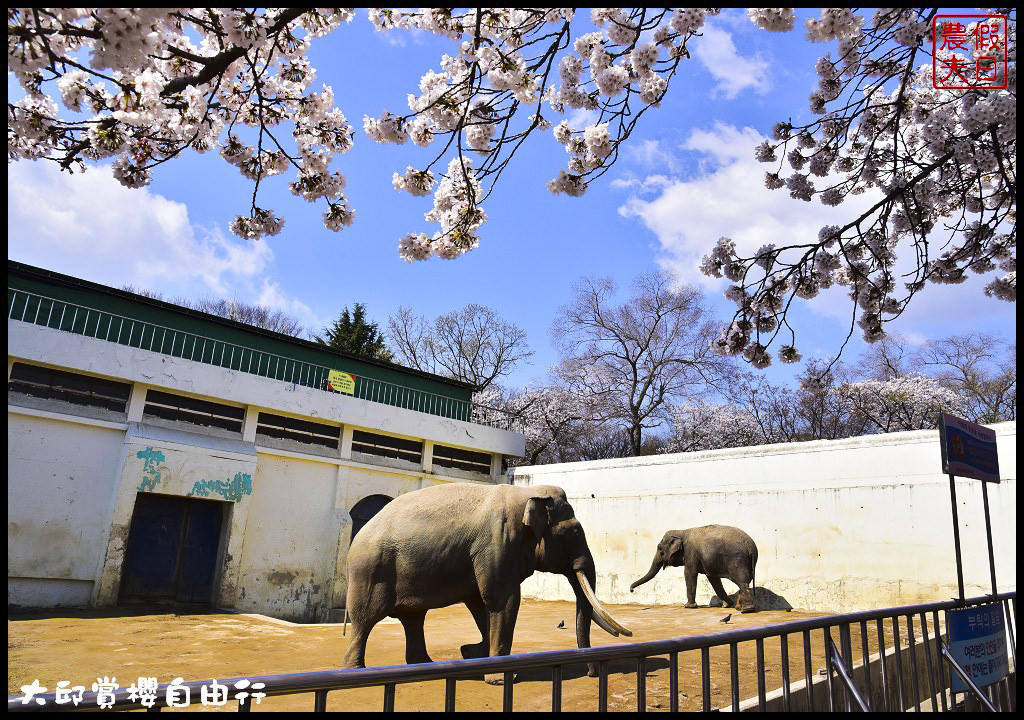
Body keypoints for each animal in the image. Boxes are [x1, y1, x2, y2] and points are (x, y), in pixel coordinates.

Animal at [344, 483, 630, 680]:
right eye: (576, 531)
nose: (592, 673)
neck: (527, 493)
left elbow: (481, 602)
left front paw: (471, 652)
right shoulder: (496, 544)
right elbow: (503, 600)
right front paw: (502, 677)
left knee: (413, 618)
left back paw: (426, 666)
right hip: (371, 572)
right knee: (366, 619)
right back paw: (356, 671)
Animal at [626, 524, 757, 614]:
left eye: (660, 548)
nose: (631, 590)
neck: (681, 531)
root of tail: (751, 548)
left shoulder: (691, 553)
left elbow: (689, 574)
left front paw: (688, 606)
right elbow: (713, 579)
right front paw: (726, 605)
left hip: (737, 559)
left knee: (742, 580)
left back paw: (746, 610)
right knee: (744, 581)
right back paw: (738, 607)